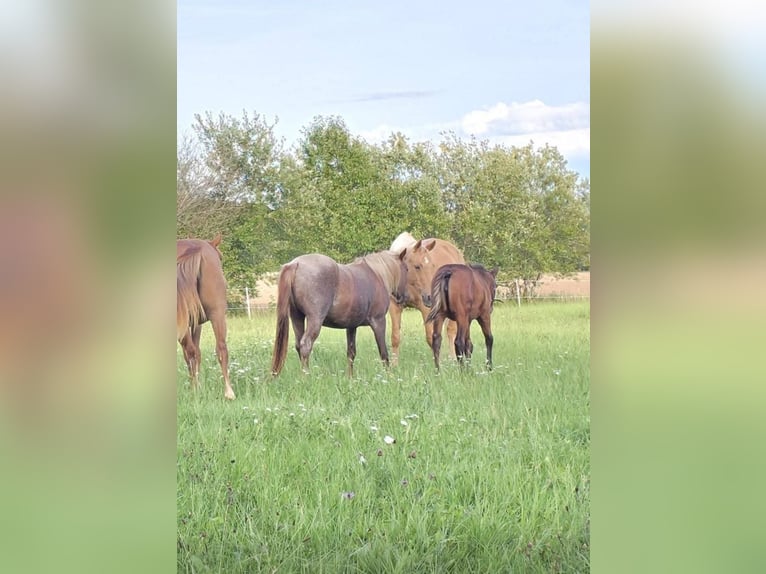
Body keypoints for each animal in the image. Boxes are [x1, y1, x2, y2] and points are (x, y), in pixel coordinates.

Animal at [176, 235, 236, 400]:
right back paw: (228, 392)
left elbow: (194, 353)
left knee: (191, 352)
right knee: (221, 348)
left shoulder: (194, 323)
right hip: (217, 313)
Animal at [270, 250, 408, 377]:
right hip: (315, 319)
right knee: (306, 345)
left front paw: (350, 378)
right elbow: (383, 353)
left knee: (299, 345)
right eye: (406, 269)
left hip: (297, 317)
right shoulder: (379, 321)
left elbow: (351, 353)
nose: (402, 298)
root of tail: (295, 264)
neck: (377, 274)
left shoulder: (351, 326)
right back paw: (306, 376)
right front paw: (389, 376)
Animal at [389, 232, 466, 363]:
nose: (430, 296)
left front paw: (439, 364)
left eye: (432, 266)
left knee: (451, 331)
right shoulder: (394, 307)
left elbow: (431, 338)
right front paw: (393, 366)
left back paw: (454, 359)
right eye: (417, 266)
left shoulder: (426, 309)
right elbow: (395, 337)